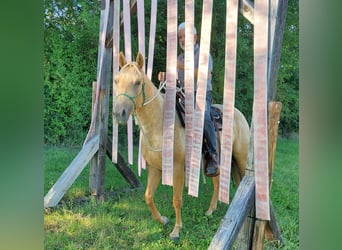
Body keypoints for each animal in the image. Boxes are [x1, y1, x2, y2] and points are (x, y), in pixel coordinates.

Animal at [113, 52, 250, 240]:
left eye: (137, 82)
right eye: (116, 80)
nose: (119, 113)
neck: (161, 125)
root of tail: (239, 114)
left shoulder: (177, 168)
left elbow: (177, 199)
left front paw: (176, 230)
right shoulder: (155, 168)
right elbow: (148, 196)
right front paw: (162, 220)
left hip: (241, 158)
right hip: (215, 162)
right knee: (217, 182)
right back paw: (211, 210)